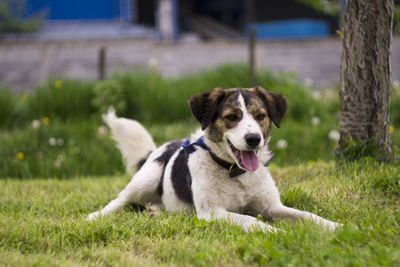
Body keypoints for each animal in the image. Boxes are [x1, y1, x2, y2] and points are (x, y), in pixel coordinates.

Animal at [89, 87, 342, 233]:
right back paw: (94, 217)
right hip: (145, 180)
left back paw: (156, 211)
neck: (234, 173)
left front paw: (339, 226)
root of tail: (158, 149)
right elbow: (251, 221)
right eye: (232, 117)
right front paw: (277, 233)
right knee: (118, 201)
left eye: (260, 116)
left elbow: (308, 216)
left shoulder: (271, 206)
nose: (254, 139)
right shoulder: (211, 213)